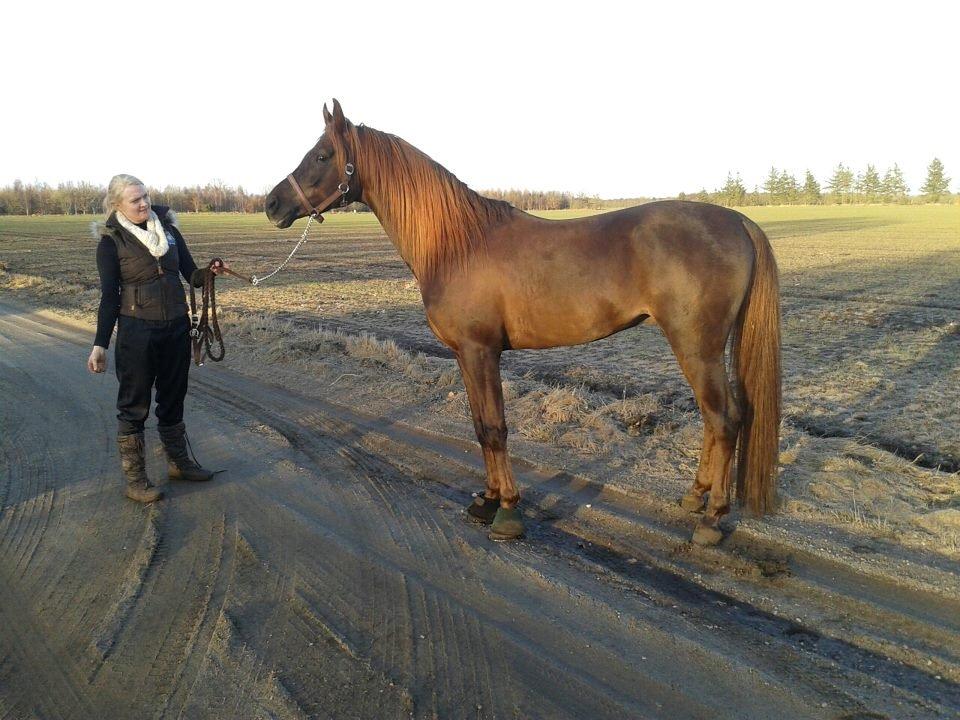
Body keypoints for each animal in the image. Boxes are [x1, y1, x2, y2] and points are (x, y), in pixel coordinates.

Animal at [262, 98, 780, 544]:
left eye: (322, 154)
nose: (271, 204)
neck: (457, 243)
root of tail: (739, 221)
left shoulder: (481, 351)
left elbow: (495, 428)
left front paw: (508, 511)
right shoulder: (465, 356)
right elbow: (479, 426)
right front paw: (487, 500)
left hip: (697, 346)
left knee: (725, 419)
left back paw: (711, 520)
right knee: (714, 421)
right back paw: (695, 498)